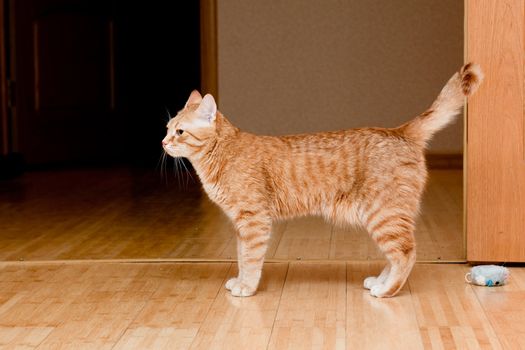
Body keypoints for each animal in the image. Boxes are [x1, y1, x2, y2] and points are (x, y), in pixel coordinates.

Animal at [162, 63, 482, 298]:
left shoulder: (253, 221)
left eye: (179, 132)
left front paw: (247, 287)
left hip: (384, 216)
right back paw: (379, 281)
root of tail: (399, 131)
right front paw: (241, 280)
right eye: (167, 128)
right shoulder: (242, 225)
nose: (162, 142)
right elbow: (242, 256)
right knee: (396, 255)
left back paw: (386, 291)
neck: (221, 154)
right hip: (384, 218)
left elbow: (251, 259)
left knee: (406, 253)